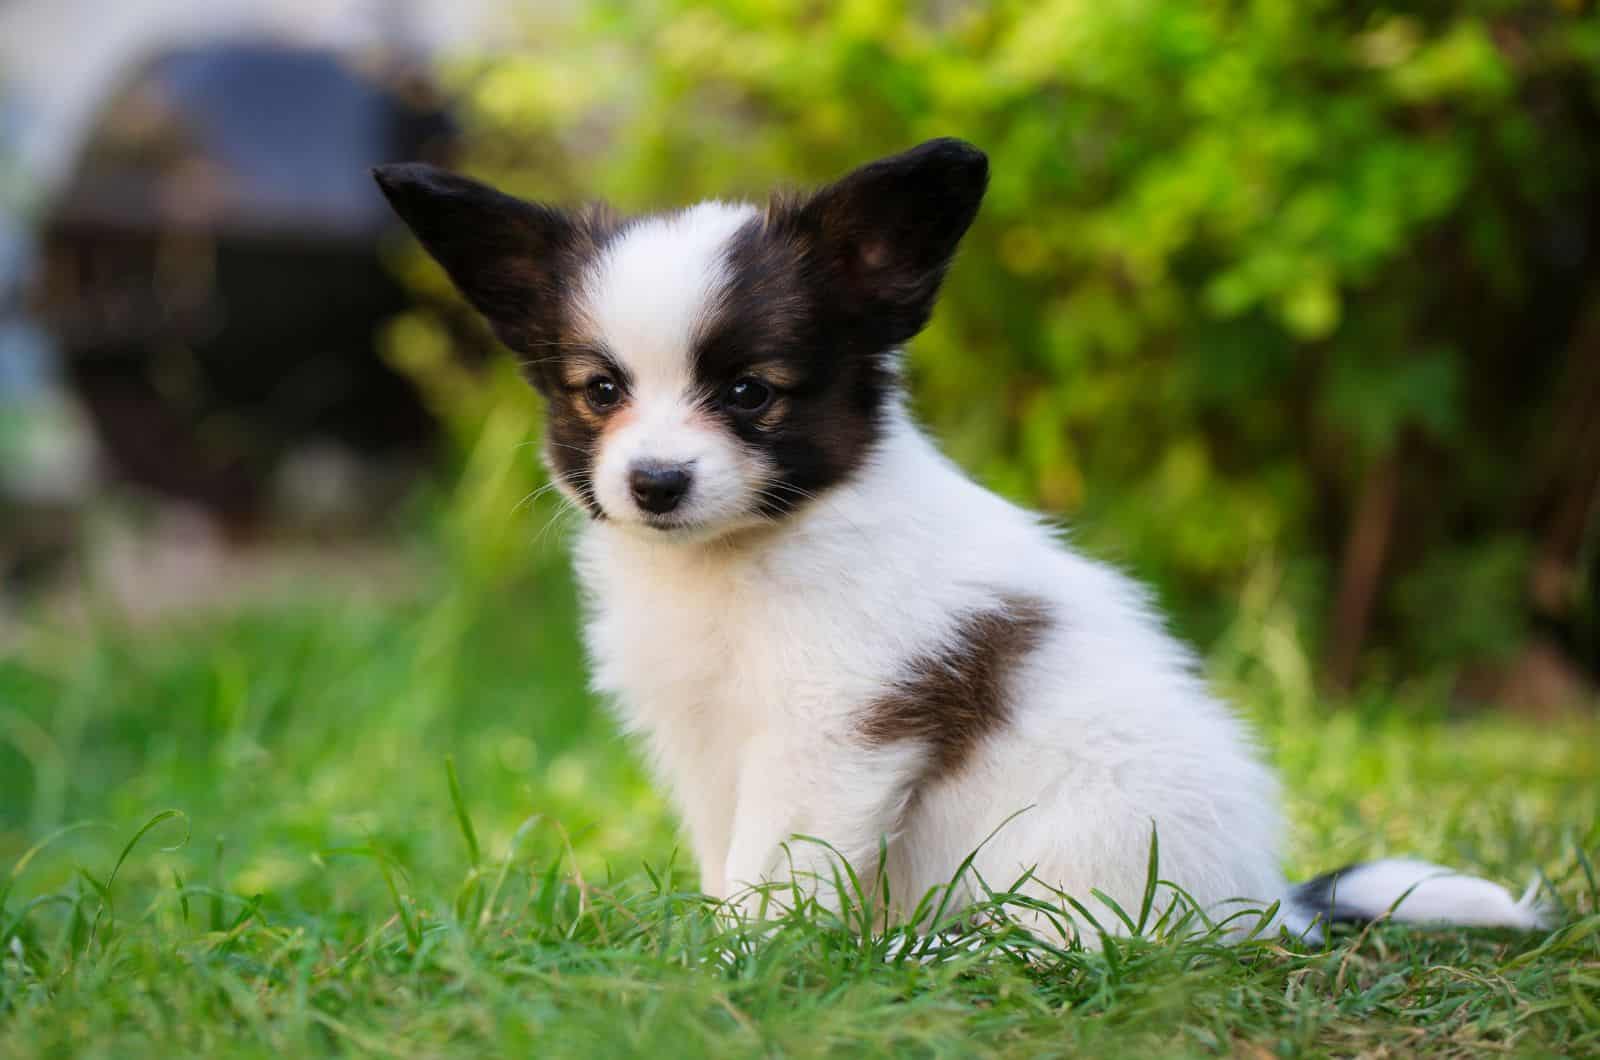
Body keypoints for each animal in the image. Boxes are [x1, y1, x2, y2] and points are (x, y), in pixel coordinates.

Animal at [374, 140, 1548, 947]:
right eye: (600, 392)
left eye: (751, 394)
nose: (654, 482)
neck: (747, 551)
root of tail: (1261, 906)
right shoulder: (702, 745)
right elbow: (726, 854)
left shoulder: (832, 732)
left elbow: (775, 867)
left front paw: (742, 966)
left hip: (1081, 840)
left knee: (1072, 939)